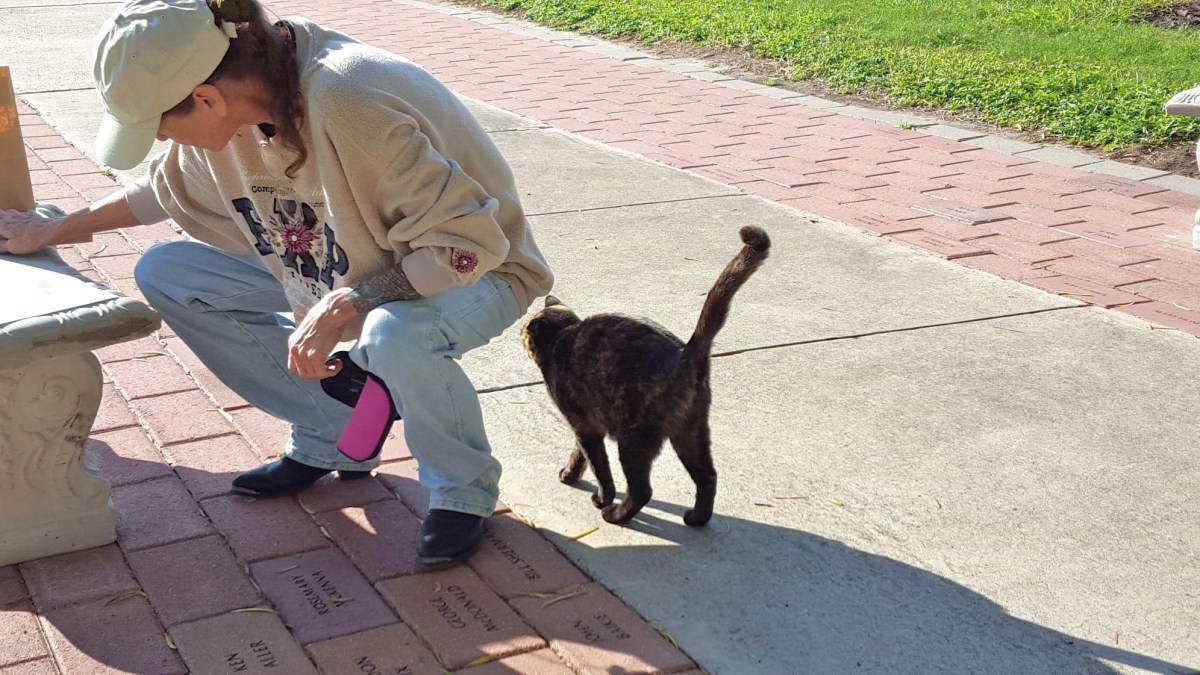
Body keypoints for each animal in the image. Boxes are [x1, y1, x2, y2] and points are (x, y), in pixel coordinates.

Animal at [521, 226, 771, 527]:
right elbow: (580, 455)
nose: (520, 333)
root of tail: (686, 353)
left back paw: (615, 514)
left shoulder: (585, 426)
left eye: (525, 330)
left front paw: (601, 497)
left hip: (634, 440)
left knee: (642, 490)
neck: (562, 336)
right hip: (690, 431)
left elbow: (599, 467)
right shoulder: (586, 424)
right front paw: (570, 475)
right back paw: (696, 518)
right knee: (708, 477)